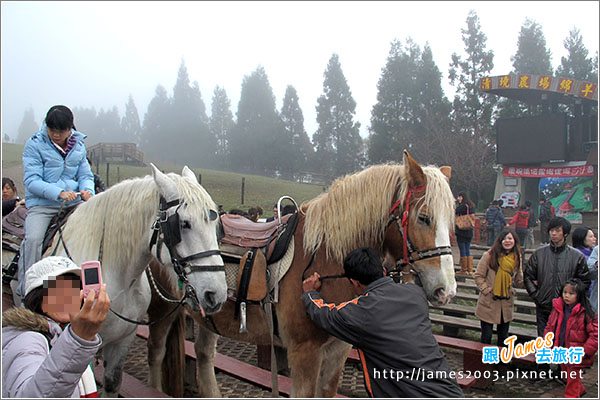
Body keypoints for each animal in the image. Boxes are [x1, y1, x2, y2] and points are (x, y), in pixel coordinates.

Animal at [146, 151, 454, 396]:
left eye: (450, 221)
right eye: (424, 217)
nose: (446, 291)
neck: (325, 258)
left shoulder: (337, 352)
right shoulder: (304, 354)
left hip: (210, 316)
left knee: (204, 354)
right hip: (163, 311)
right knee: (156, 352)